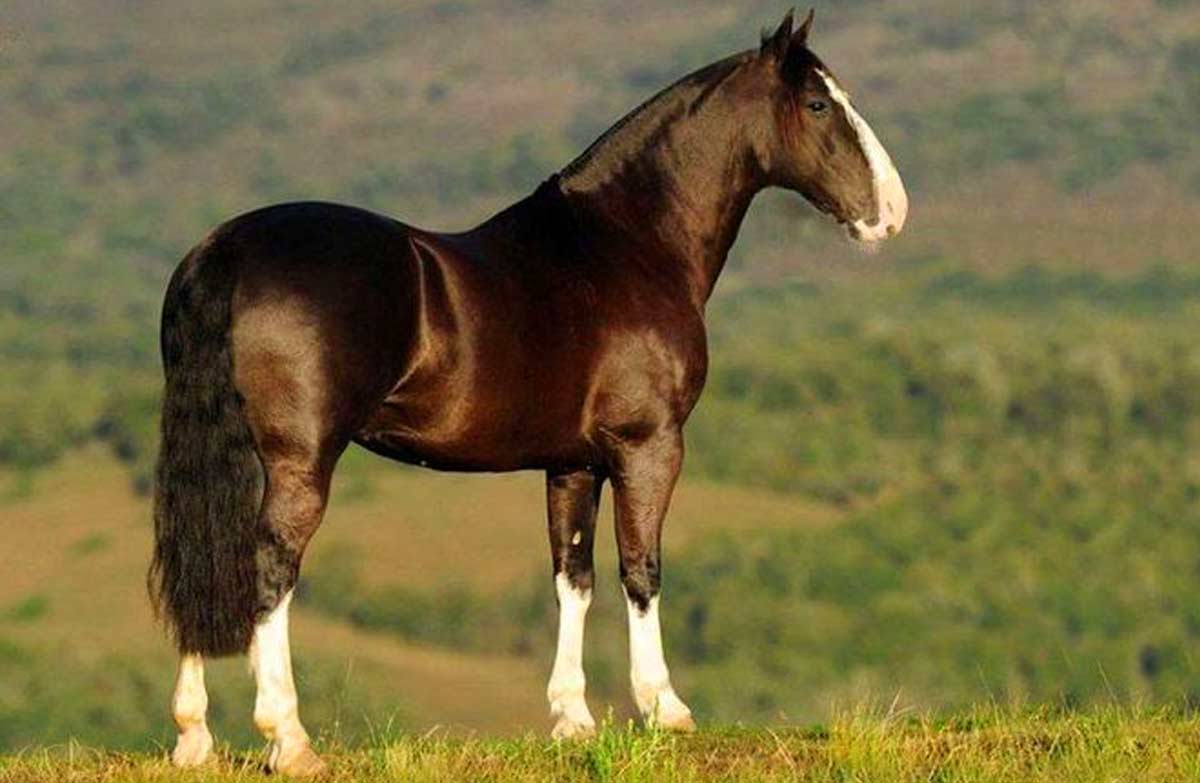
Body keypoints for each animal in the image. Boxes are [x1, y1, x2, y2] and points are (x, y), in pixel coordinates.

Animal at [150, 9, 906, 775]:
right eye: (818, 104)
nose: (891, 213)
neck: (627, 245)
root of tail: (226, 251)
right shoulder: (649, 445)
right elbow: (641, 567)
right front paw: (665, 708)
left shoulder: (571, 462)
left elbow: (573, 577)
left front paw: (573, 718)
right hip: (301, 460)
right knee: (268, 565)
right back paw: (290, 738)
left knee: (199, 555)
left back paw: (194, 737)